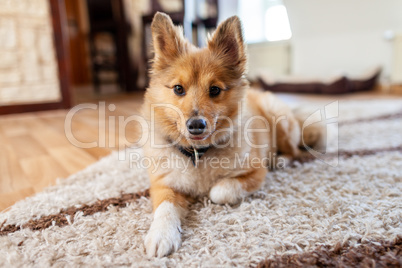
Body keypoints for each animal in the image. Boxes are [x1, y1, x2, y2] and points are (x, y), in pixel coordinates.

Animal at [141, 12, 324, 258]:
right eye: (178, 89)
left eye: (215, 90)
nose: (196, 125)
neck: (199, 155)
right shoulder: (163, 184)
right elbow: (165, 209)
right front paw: (161, 234)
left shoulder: (255, 173)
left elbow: (219, 191)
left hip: (278, 117)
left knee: (294, 151)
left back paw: (280, 159)